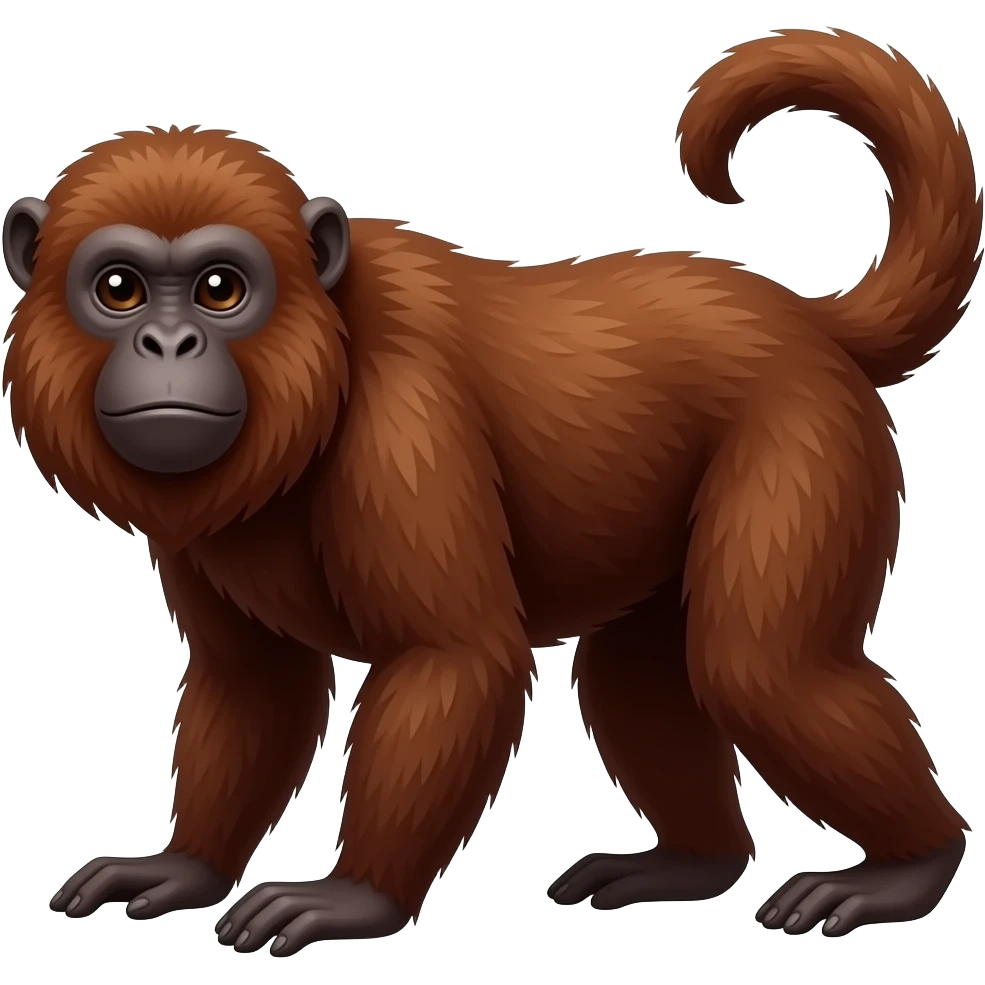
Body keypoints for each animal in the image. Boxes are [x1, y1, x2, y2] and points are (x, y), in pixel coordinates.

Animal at [4, 27, 979, 954]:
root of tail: (804, 322)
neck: (319, 367)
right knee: (636, 674)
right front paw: (186, 867)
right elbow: (254, 683)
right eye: (119, 288)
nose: (169, 346)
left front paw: (355, 897)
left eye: (220, 288)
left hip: (806, 433)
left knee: (760, 669)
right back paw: (693, 861)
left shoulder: (402, 426)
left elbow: (454, 657)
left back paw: (911, 866)